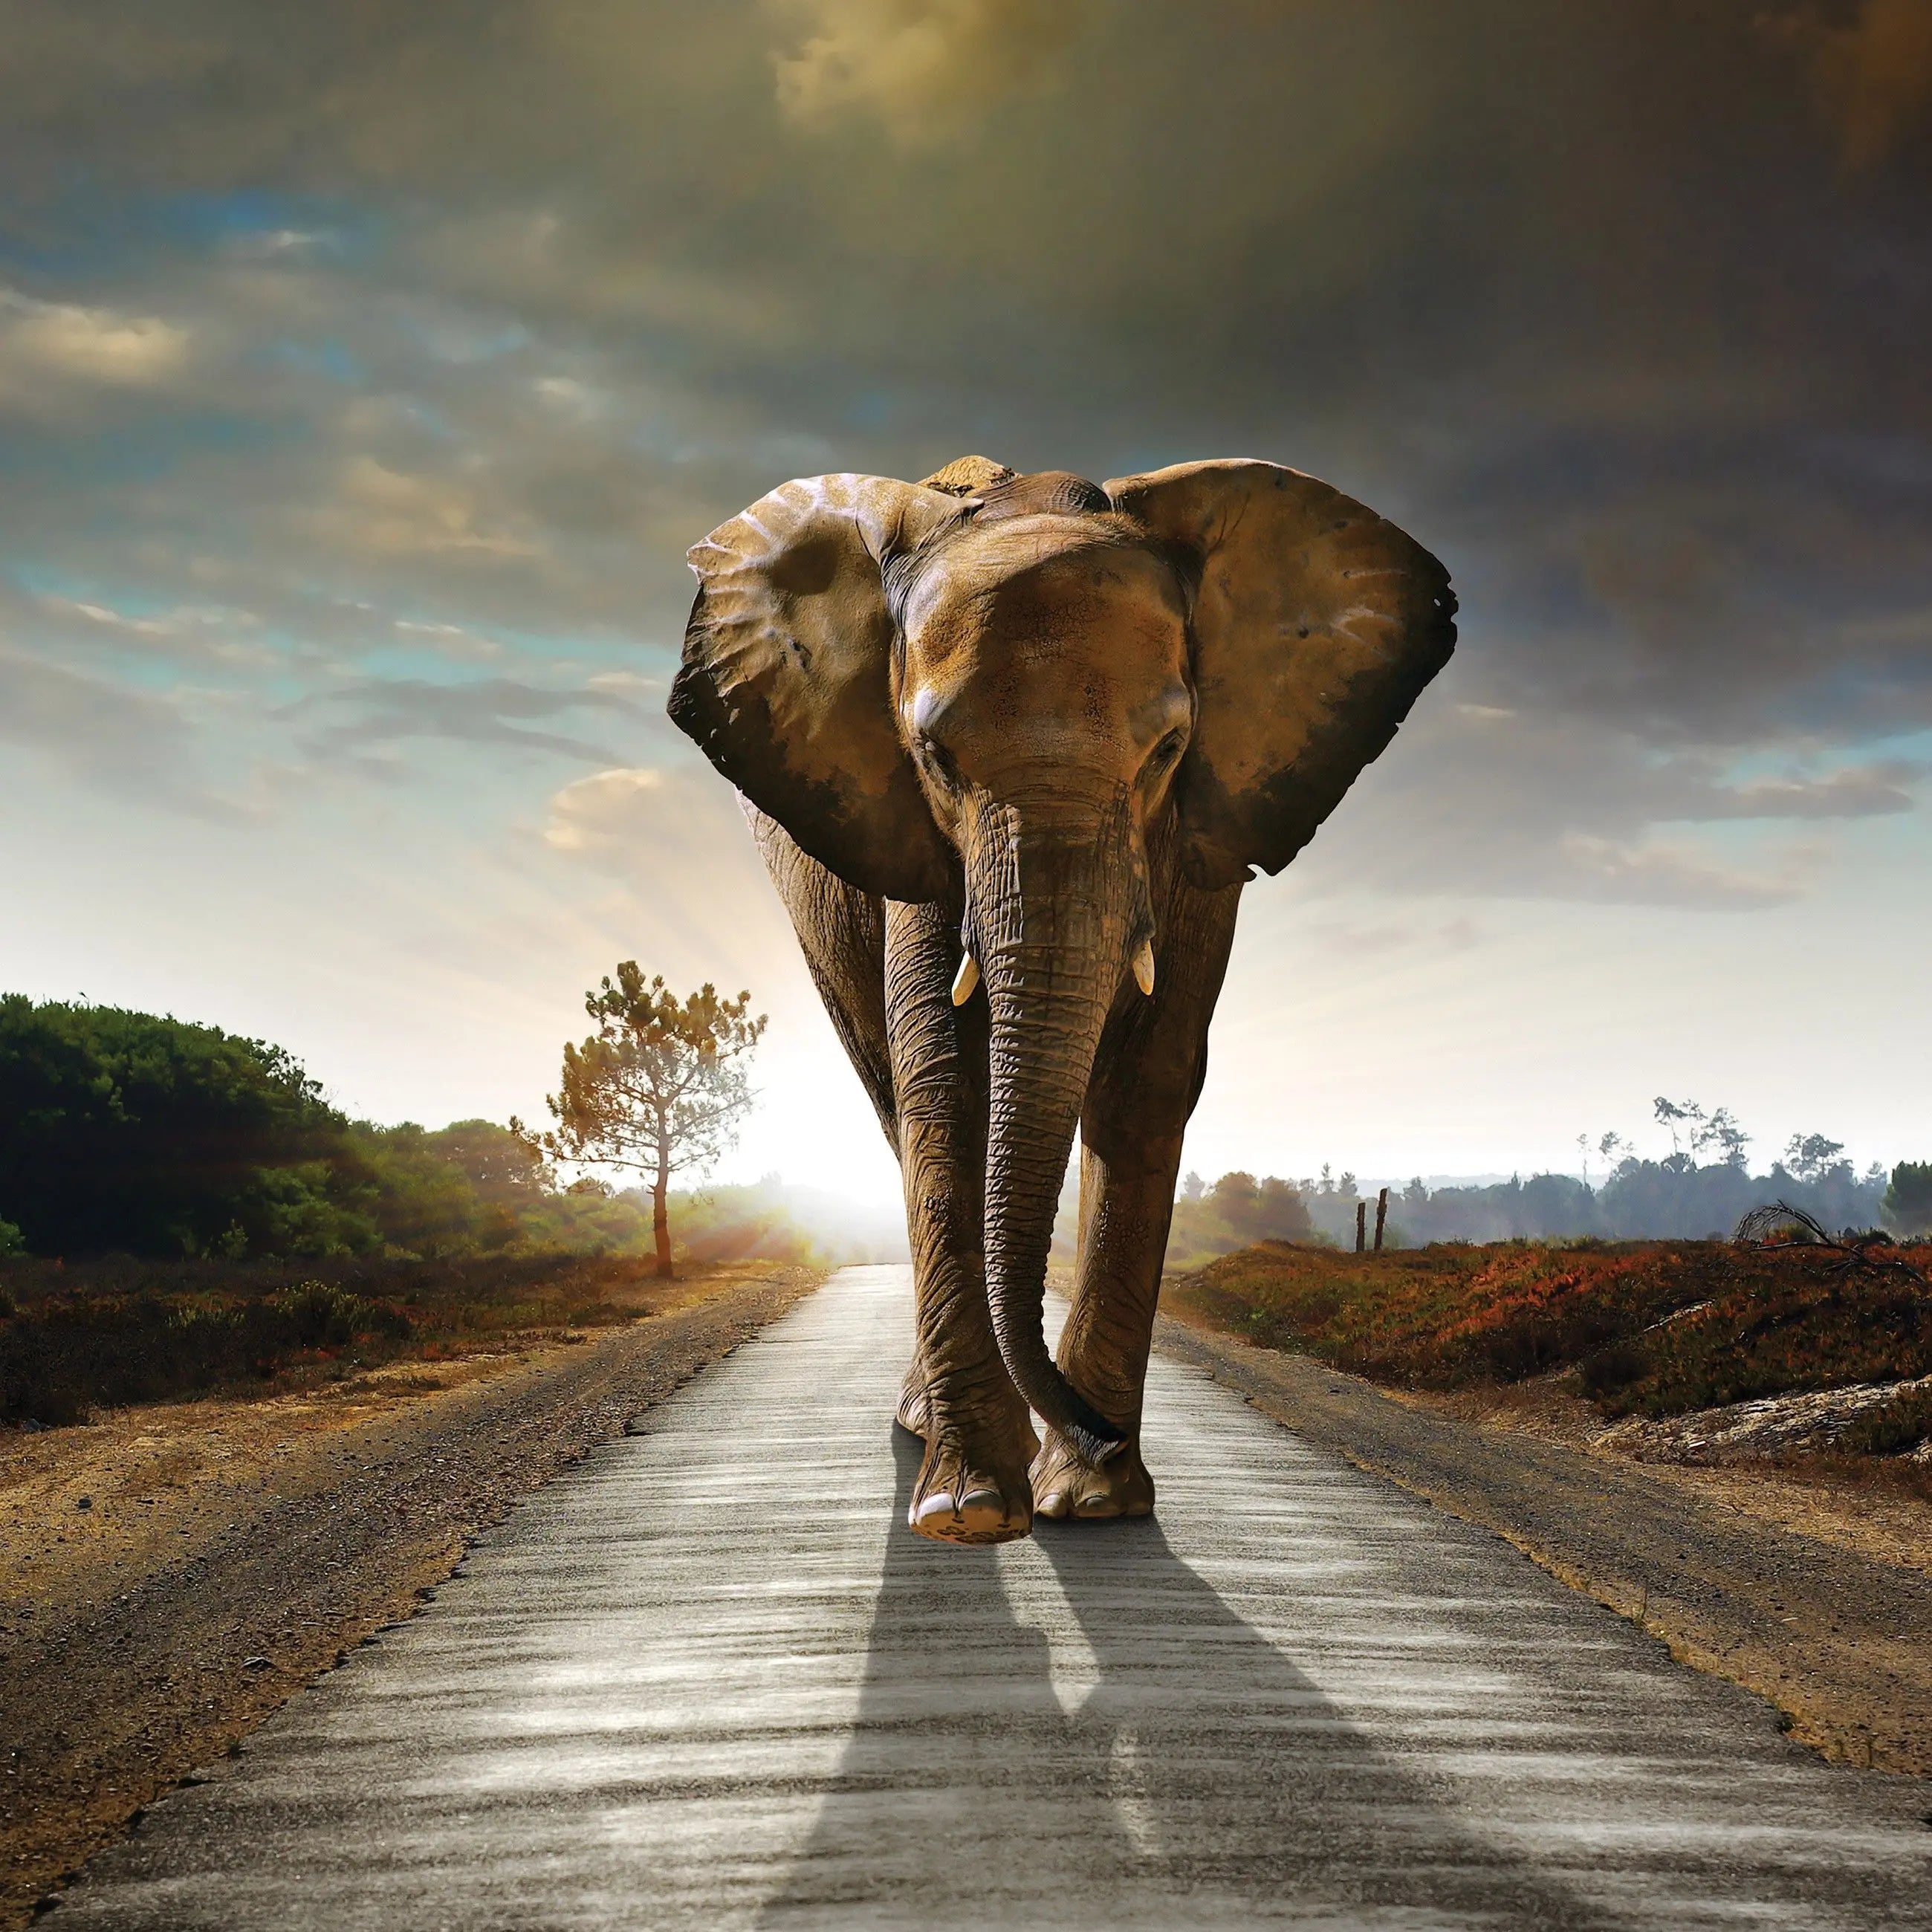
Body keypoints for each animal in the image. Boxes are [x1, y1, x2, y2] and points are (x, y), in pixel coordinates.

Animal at [669, 454, 1454, 1545]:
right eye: (934, 757)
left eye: (1168, 748)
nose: (1096, 1429)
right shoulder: (913, 833)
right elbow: (945, 1079)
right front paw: (970, 1511)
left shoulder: (1202, 834)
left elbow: (1148, 1080)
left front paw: (1092, 1501)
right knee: (889, 1096)